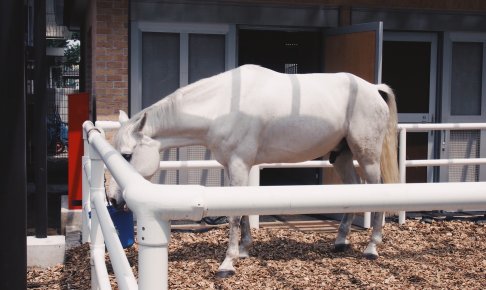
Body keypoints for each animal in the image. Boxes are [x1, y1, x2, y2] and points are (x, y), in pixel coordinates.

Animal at [109, 64, 398, 278]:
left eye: (127, 155)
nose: (113, 199)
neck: (222, 105)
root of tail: (373, 89)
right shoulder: (233, 166)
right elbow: (243, 208)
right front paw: (244, 249)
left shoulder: (239, 164)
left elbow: (235, 215)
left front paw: (228, 263)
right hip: (342, 157)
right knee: (354, 189)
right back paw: (341, 240)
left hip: (367, 157)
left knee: (378, 192)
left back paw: (372, 247)